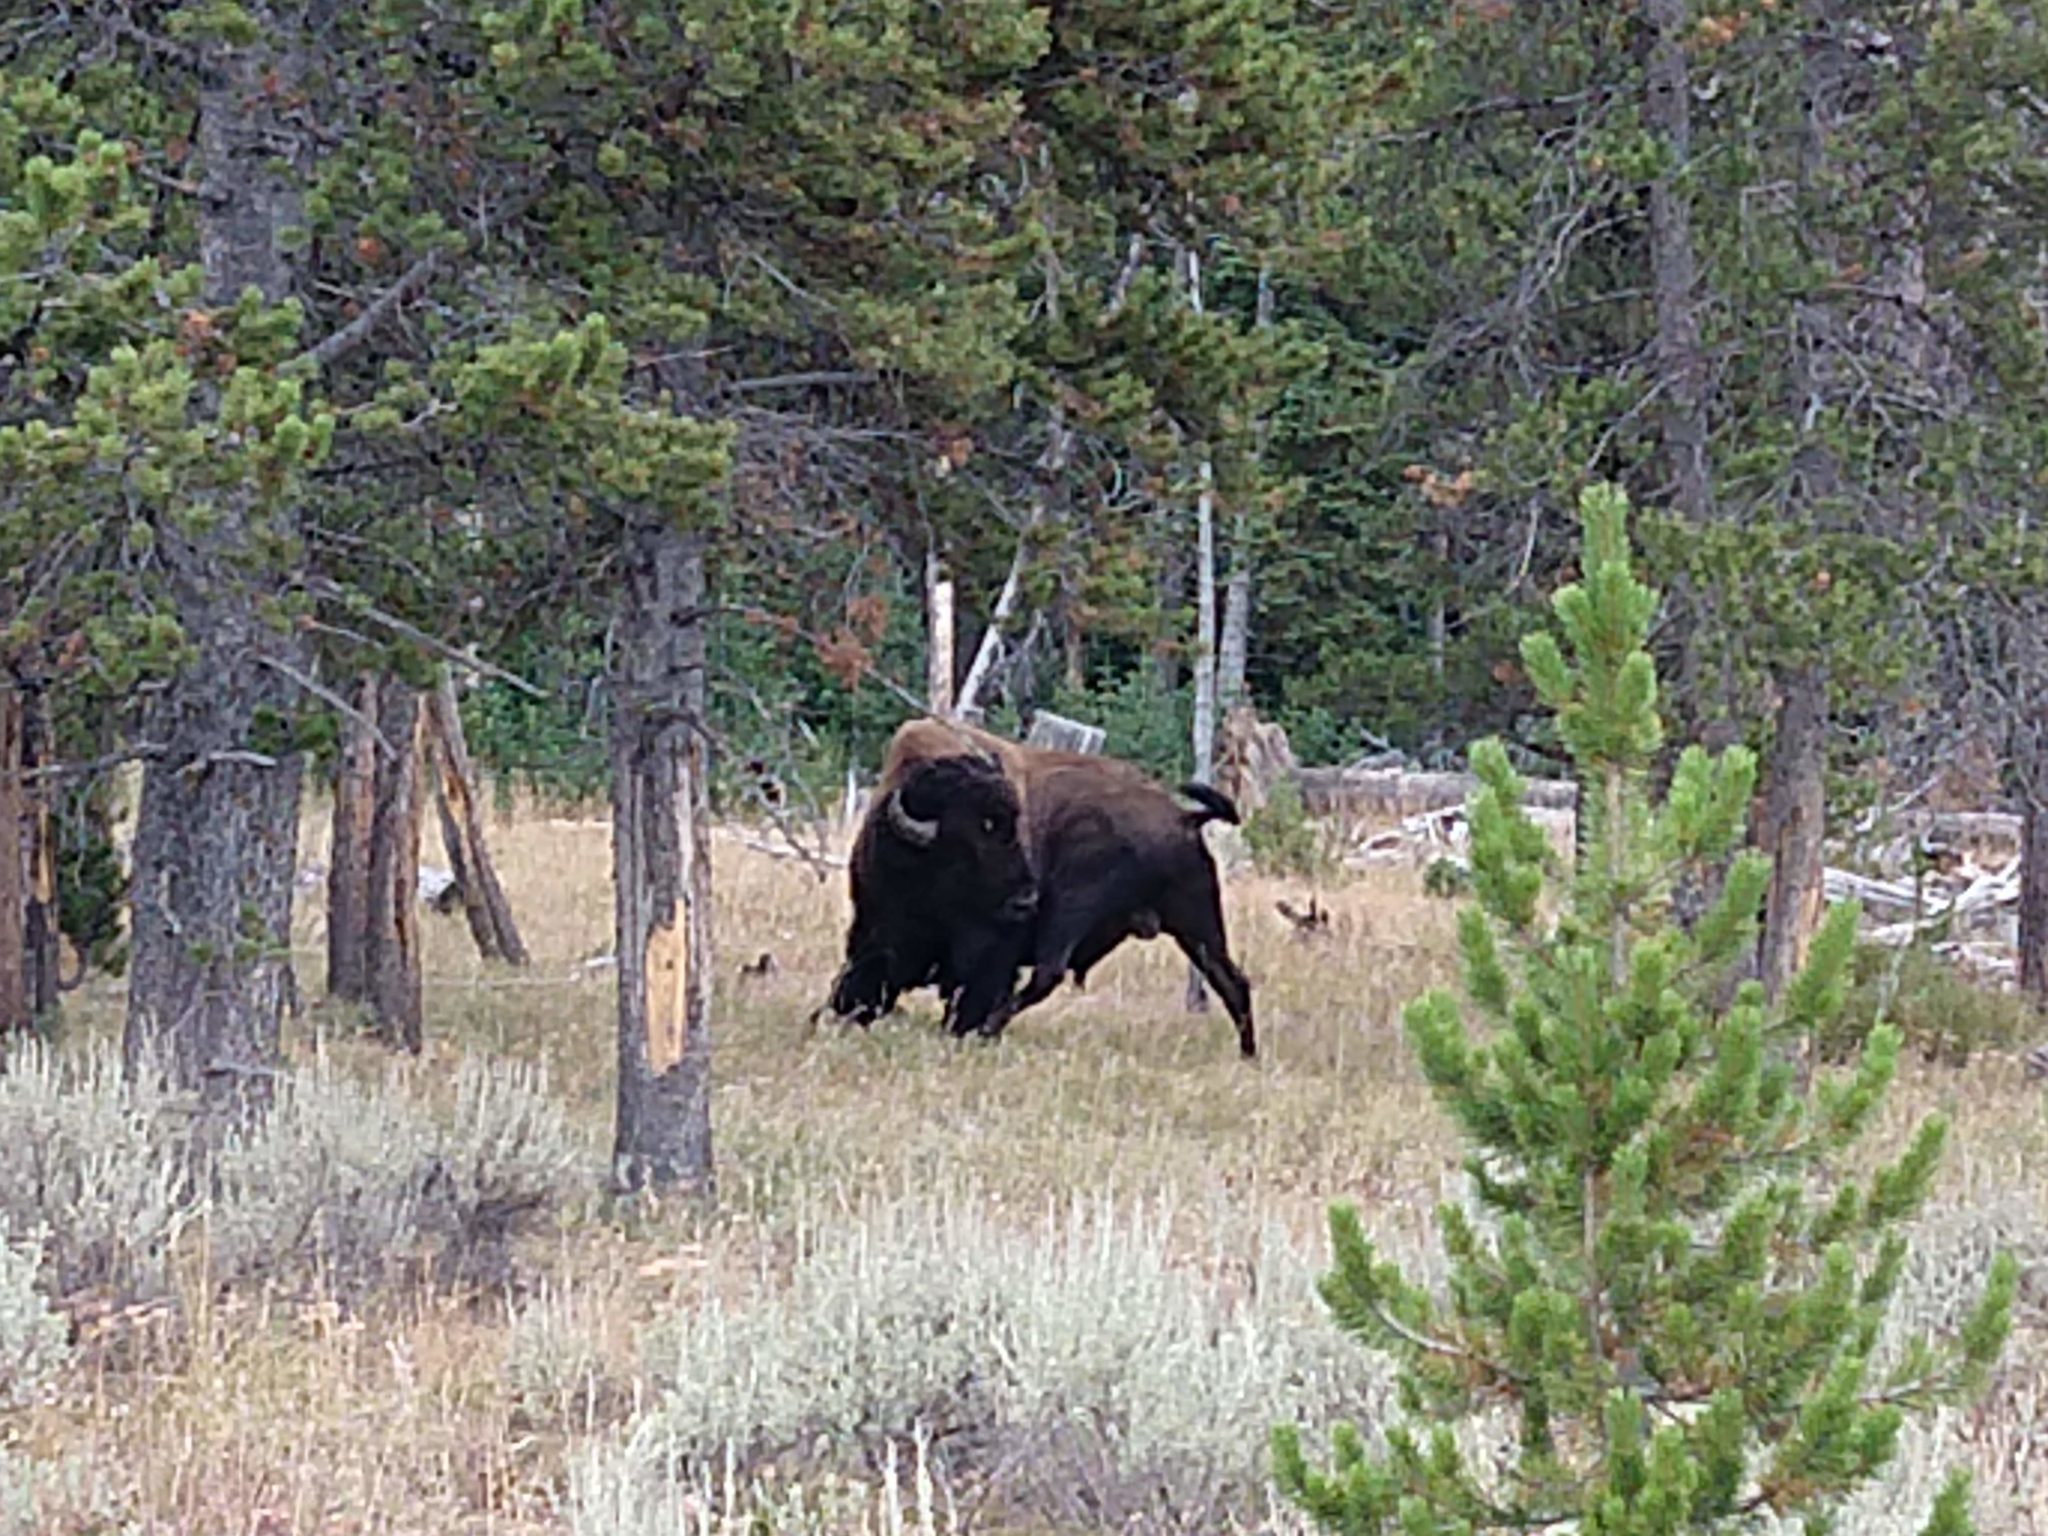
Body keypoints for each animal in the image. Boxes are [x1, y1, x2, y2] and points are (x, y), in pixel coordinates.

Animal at [823, 720, 1253, 1056]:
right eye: (971, 841)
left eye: (1013, 828)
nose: (1025, 900)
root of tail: (1183, 817)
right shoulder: (876, 932)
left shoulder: (994, 952)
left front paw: (963, 1031)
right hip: (1195, 926)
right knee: (1231, 980)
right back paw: (1248, 1056)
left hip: (1077, 910)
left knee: (1048, 974)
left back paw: (991, 1027)